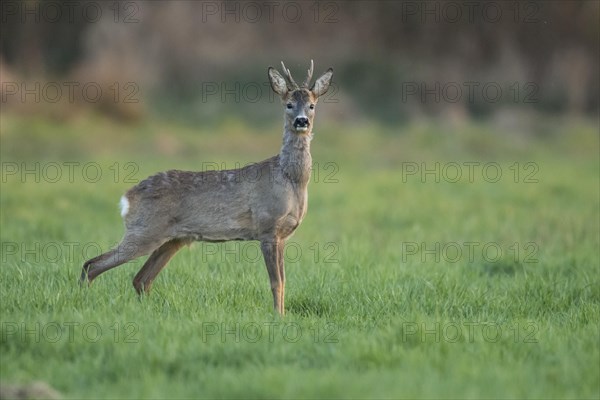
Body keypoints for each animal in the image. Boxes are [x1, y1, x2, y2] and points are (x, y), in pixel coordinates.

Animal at [79, 59, 332, 316]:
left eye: (311, 105)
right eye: (289, 104)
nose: (301, 121)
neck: (291, 179)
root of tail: (128, 197)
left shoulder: (282, 235)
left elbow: (284, 281)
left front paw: (281, 314)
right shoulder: (268, 228)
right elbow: (276, 281)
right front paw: (278, 316)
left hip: (172, 239)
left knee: (141, 278)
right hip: (144, 230)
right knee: (92, 264)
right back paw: (83, 301)